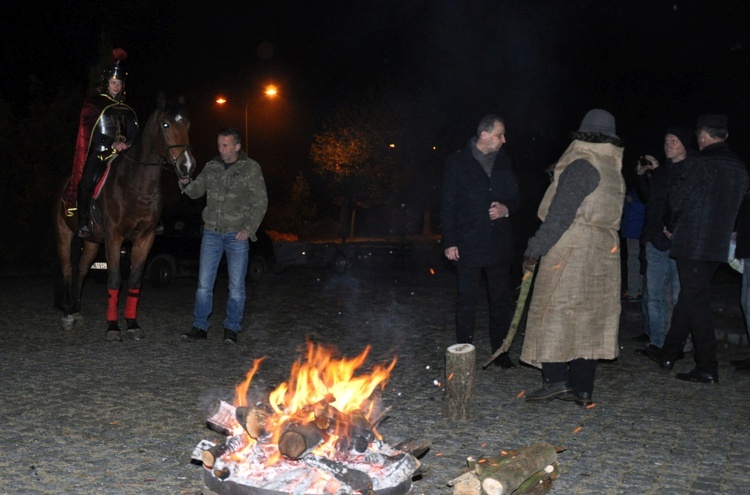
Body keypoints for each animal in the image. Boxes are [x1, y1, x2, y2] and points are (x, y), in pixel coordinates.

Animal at [55, 93, 197, 340]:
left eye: (187, 125)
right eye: (166, 124)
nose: (186, 166)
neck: (137, 185)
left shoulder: (145, 239)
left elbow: (135, 280)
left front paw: (132, 323)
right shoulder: (115, 237)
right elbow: (113, 280)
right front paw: (113, 327)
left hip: (93, 242)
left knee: (81, 270)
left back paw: (77, 310)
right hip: (65, 235)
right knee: (68, 270)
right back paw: (68, 315)